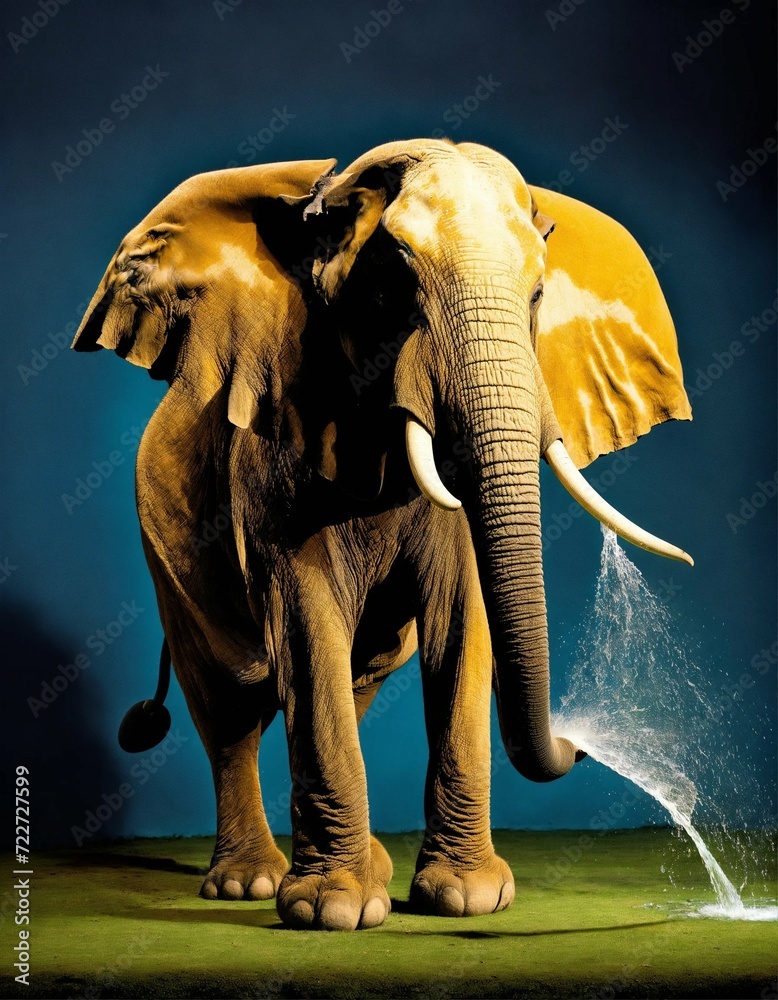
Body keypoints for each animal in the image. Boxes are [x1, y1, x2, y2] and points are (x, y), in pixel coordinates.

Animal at [72, 138, 692, 930]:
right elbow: (305, 617)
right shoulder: (276, 442)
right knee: (228, 698)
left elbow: (463, 617)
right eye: (392, 287)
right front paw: (329, 912)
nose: (583, 747)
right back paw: (250, 883)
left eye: (536, 298)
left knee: (356, 676)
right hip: (161, 540)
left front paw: (468, 900)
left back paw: (369, 866)